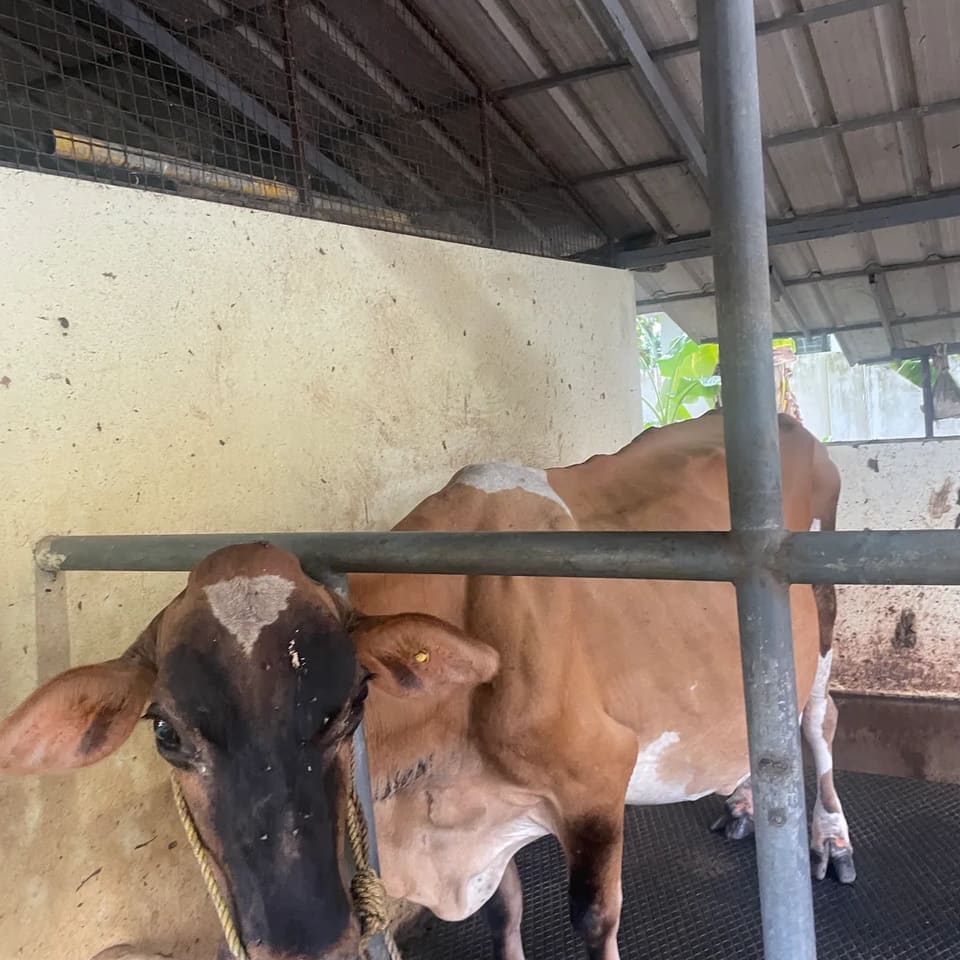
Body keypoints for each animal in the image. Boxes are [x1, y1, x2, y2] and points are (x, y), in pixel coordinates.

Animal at [0, 411, 852, 960]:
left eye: (350, 706)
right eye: (165, 732)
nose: (304, 938)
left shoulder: (596, 778)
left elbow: (592, 920)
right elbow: (506, 912)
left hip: (820, 619)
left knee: (818, 722)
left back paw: (829, 838)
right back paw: (742, 800)